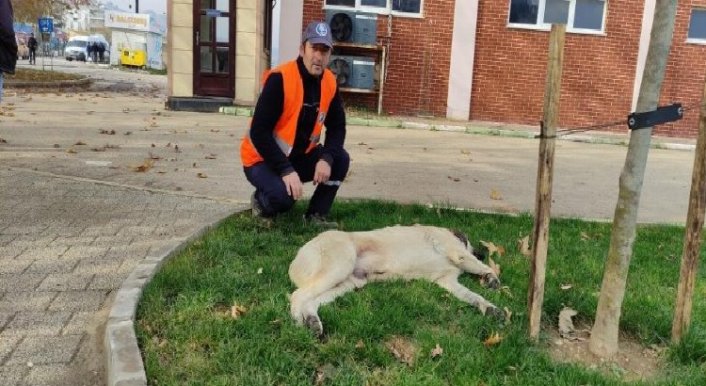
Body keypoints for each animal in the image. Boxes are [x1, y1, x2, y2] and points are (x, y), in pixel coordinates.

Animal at [288, 223, 500, 338]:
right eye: (470, 244)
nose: (482, 253)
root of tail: (295, 260)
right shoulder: (457, 252)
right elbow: (479, 265)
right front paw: (492, 277)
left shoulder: (449, 282)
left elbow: (473, 296)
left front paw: (490, 308)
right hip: (340, 265)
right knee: (297, 295)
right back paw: (298, 324)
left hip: (348, 282)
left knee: (311, 301)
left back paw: (313, 322)